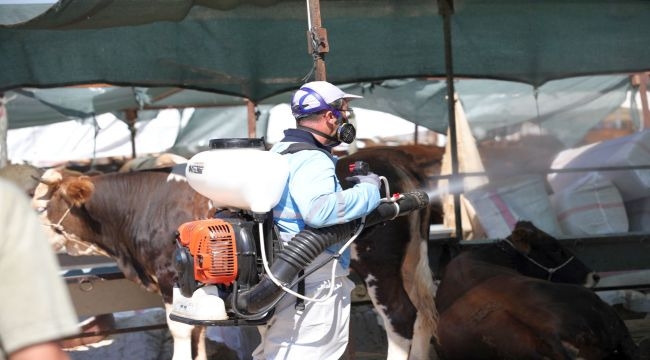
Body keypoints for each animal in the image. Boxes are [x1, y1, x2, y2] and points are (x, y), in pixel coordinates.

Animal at [31, 144, 446, 360]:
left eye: (42, 204)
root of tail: (393, 159)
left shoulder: (171, 275)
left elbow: (181, 329)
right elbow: (199, 329)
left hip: (379, 268)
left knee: (400, 319)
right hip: (411, 263)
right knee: (424, 315)